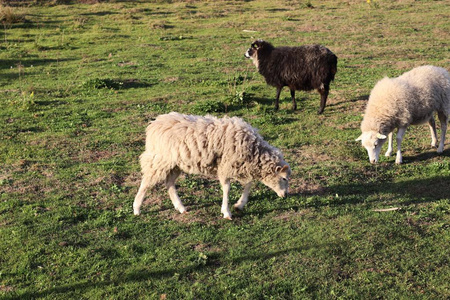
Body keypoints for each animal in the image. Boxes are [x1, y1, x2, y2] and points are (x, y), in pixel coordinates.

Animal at [132, 111, 292, 219]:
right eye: (284, 178)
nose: (285, 195)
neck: (253, 151)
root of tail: (155, 123)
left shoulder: (241, 166)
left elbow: (249, 184)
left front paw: (240, 204)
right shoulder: (226, 166)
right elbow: (227, 189)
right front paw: (226, 212)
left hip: (175, 164)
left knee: (169, 183)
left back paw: (181, 207)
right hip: (159, 160)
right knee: (146, 182)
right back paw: (136, 208)